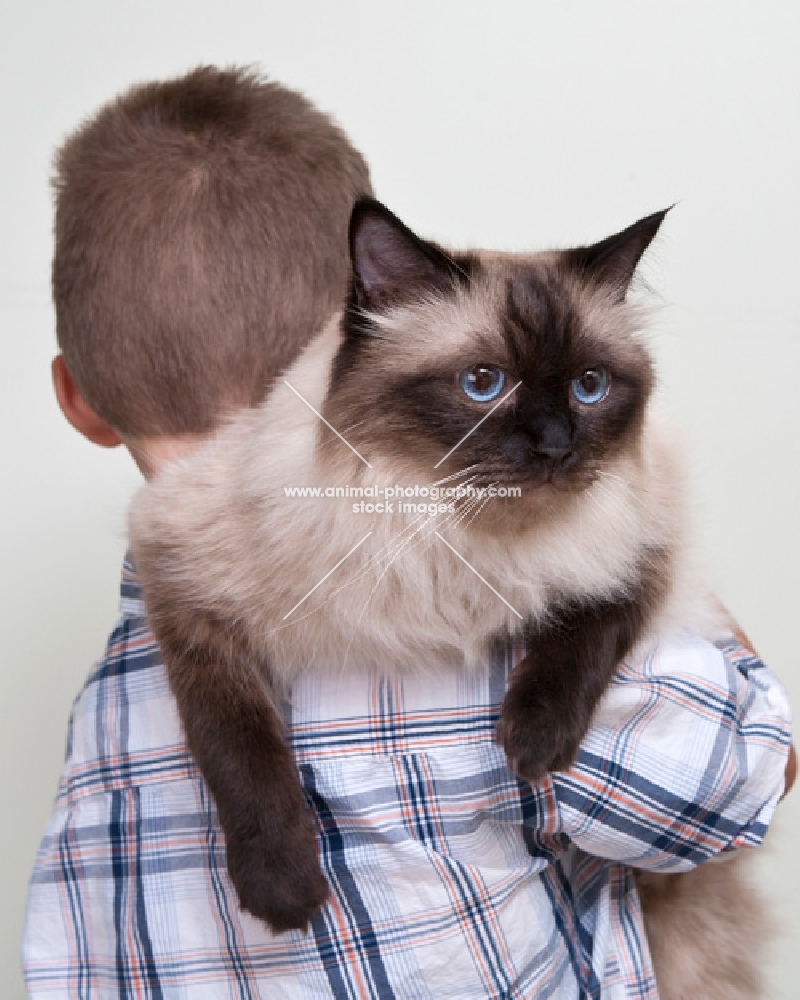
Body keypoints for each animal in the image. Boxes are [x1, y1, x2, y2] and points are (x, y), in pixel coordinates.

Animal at [130, 199, 768, 996]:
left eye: (589, 387)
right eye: (483, 383)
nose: (556, 445)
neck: (445, 533)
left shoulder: (647, 547)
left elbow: (591, 622)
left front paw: (532, 740)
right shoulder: (181, 577)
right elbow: (239, 745)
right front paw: (282, 888)